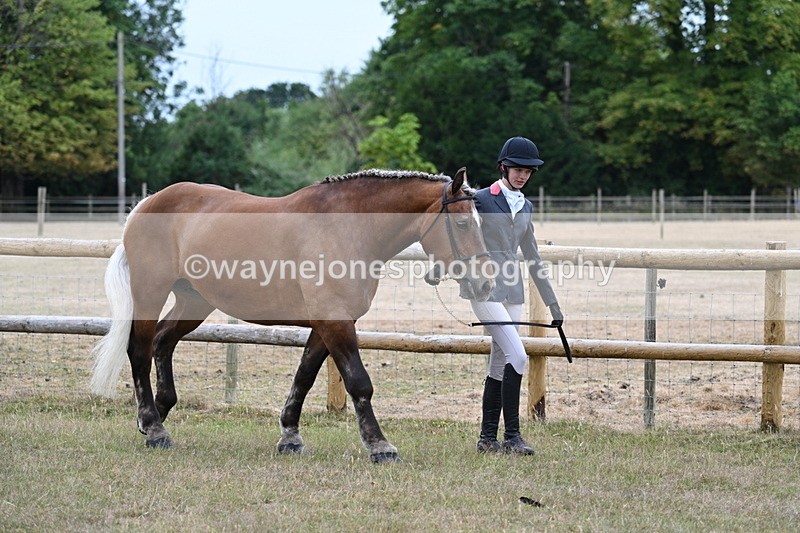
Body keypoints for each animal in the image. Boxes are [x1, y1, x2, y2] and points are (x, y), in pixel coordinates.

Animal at [90, 168, 495, 463]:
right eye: (462, 223)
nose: (484, 283)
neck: (347, 227)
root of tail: (147, 203)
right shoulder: (335, 322)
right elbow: (359, 383)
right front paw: (380, 446)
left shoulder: (326, 325)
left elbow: (304, 377)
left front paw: (290, 437)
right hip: (151, 293)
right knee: (140, 350)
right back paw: (155, 427)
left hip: (195, 302)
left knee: (163, 342)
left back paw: (155, 417)